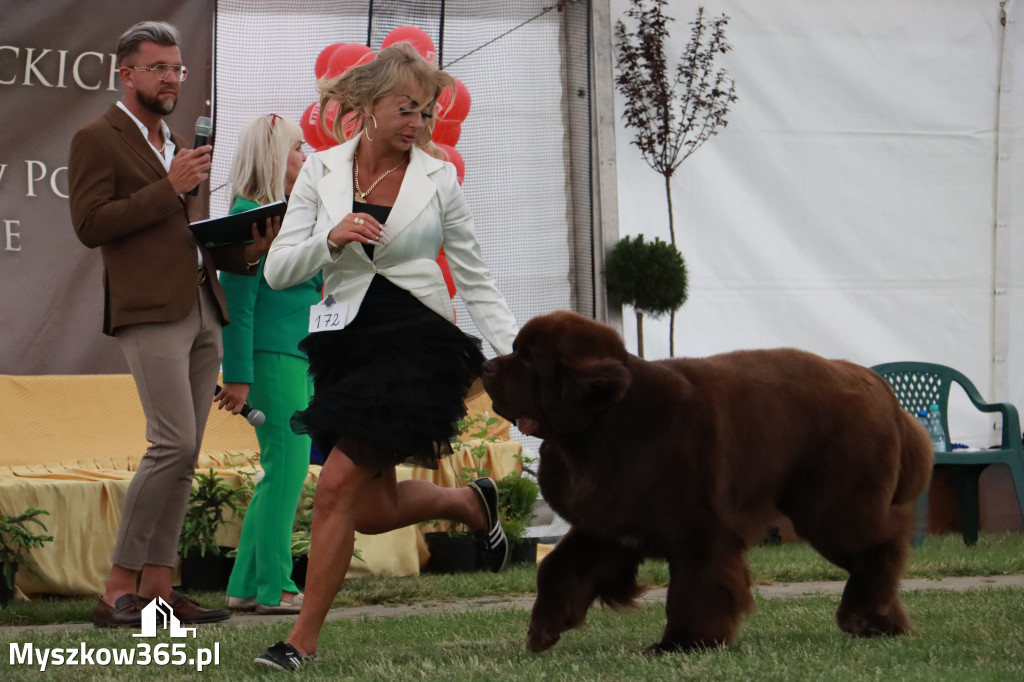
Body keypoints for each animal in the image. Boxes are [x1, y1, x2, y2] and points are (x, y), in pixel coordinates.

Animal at [479, 311, 937, 651]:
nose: (484, 365)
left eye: (527, 359)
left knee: (882, 545)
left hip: (829, 506)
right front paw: (544, 630)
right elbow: (558, 568)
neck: (605, 427)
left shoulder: (703, 530)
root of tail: (881, 389)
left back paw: (861, 614)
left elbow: (695, 589)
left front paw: (682, 644)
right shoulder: (607, 527)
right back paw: (883, 622)